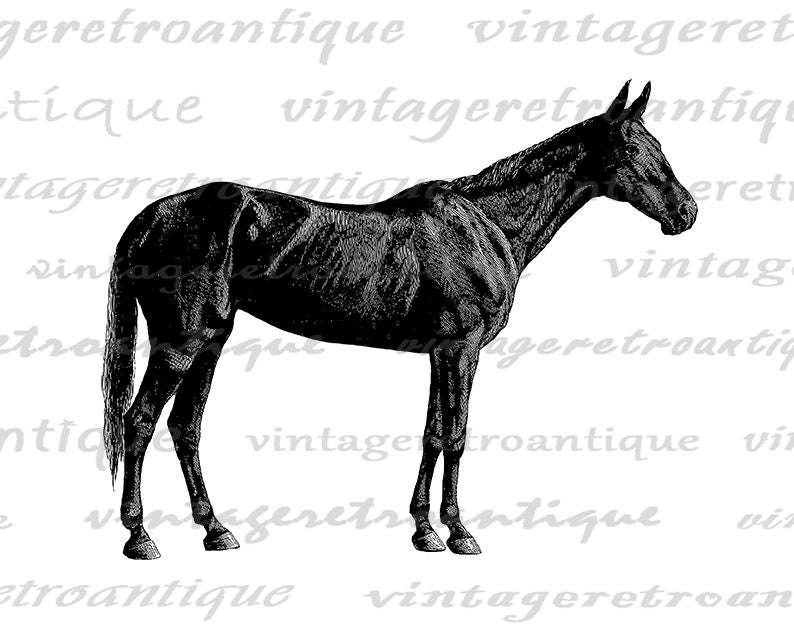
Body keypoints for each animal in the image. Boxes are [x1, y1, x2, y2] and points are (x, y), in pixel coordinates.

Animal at [102, 80, 698, 559]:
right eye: (631, 147)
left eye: (659, 145)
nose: (685, 212)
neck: (487, 224)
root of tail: (147, 218)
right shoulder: (463, 350)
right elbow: (456, 436)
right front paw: (460, 533)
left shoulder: (442, 353)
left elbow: (432, 434)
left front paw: (424, 530)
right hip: (182, 342)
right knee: (140, 422)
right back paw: (140, 537)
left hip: (210, 342)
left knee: (185, 428)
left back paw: (216, 530)